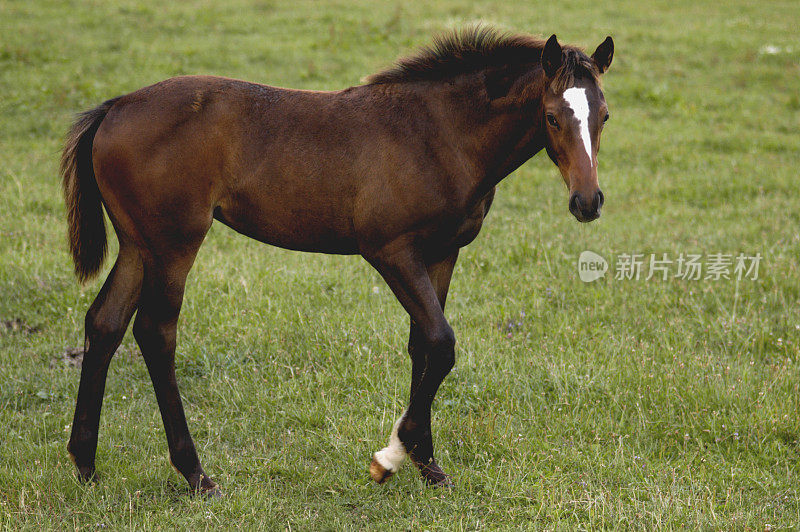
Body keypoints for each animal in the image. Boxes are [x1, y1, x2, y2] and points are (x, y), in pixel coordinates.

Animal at [62, 26, 612, 494]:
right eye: (552, 116)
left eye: (603, 115)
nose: (587, 202)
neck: (440, 135)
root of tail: (113, 108)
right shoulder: (390, 250)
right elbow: (441, 343)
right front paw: (390, 458)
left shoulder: (442, 252)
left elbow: (423, 347)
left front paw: (428, 464)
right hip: (174, 245)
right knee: (156, 333)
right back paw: (196, 474)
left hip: (139, 245)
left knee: (105, 323)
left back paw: (86, 464)